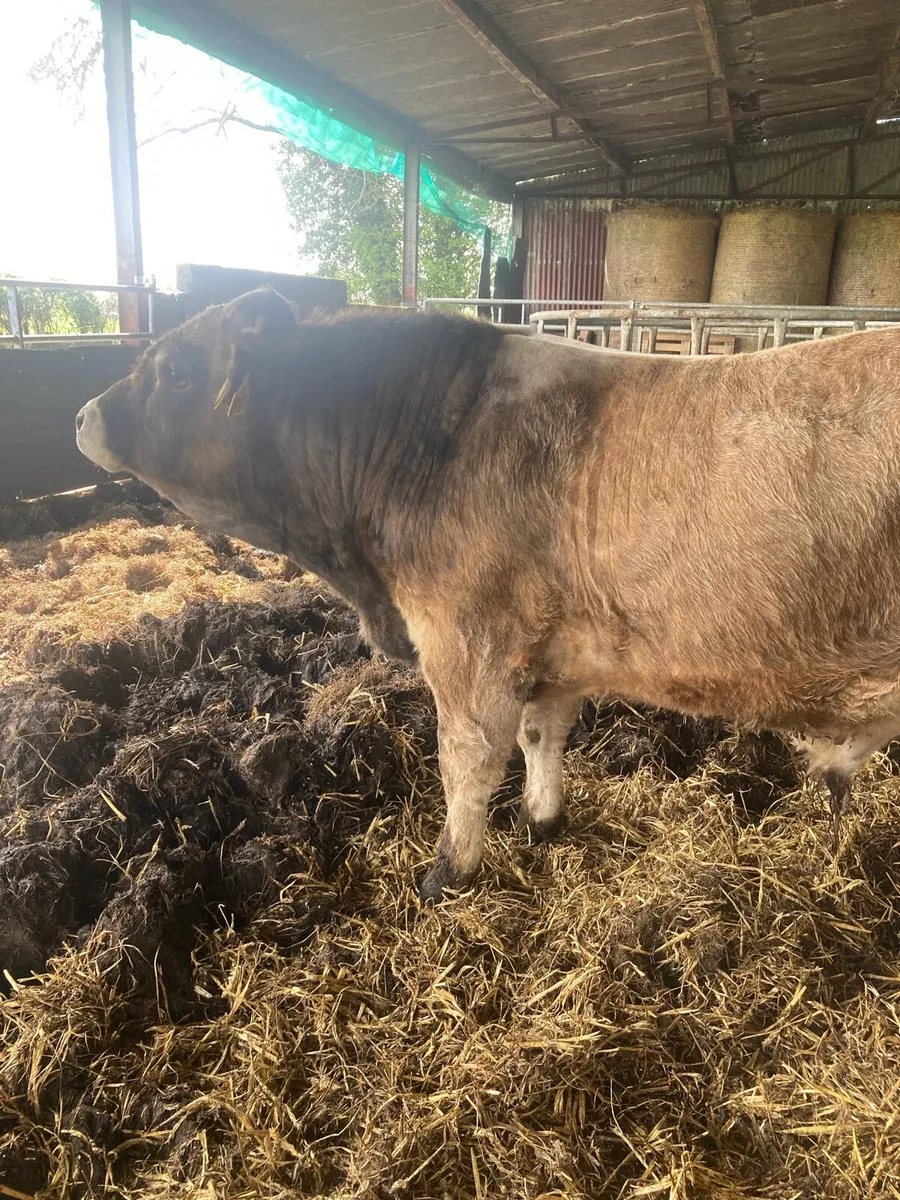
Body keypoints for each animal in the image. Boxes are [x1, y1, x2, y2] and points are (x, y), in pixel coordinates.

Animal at [76, 286, 900, 899]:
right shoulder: (551, 653)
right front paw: (544, 823)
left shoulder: (468, 643)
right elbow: (542, 737)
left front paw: (446, 873)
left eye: (176, 369)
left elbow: (466, 762)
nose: (83, 413)